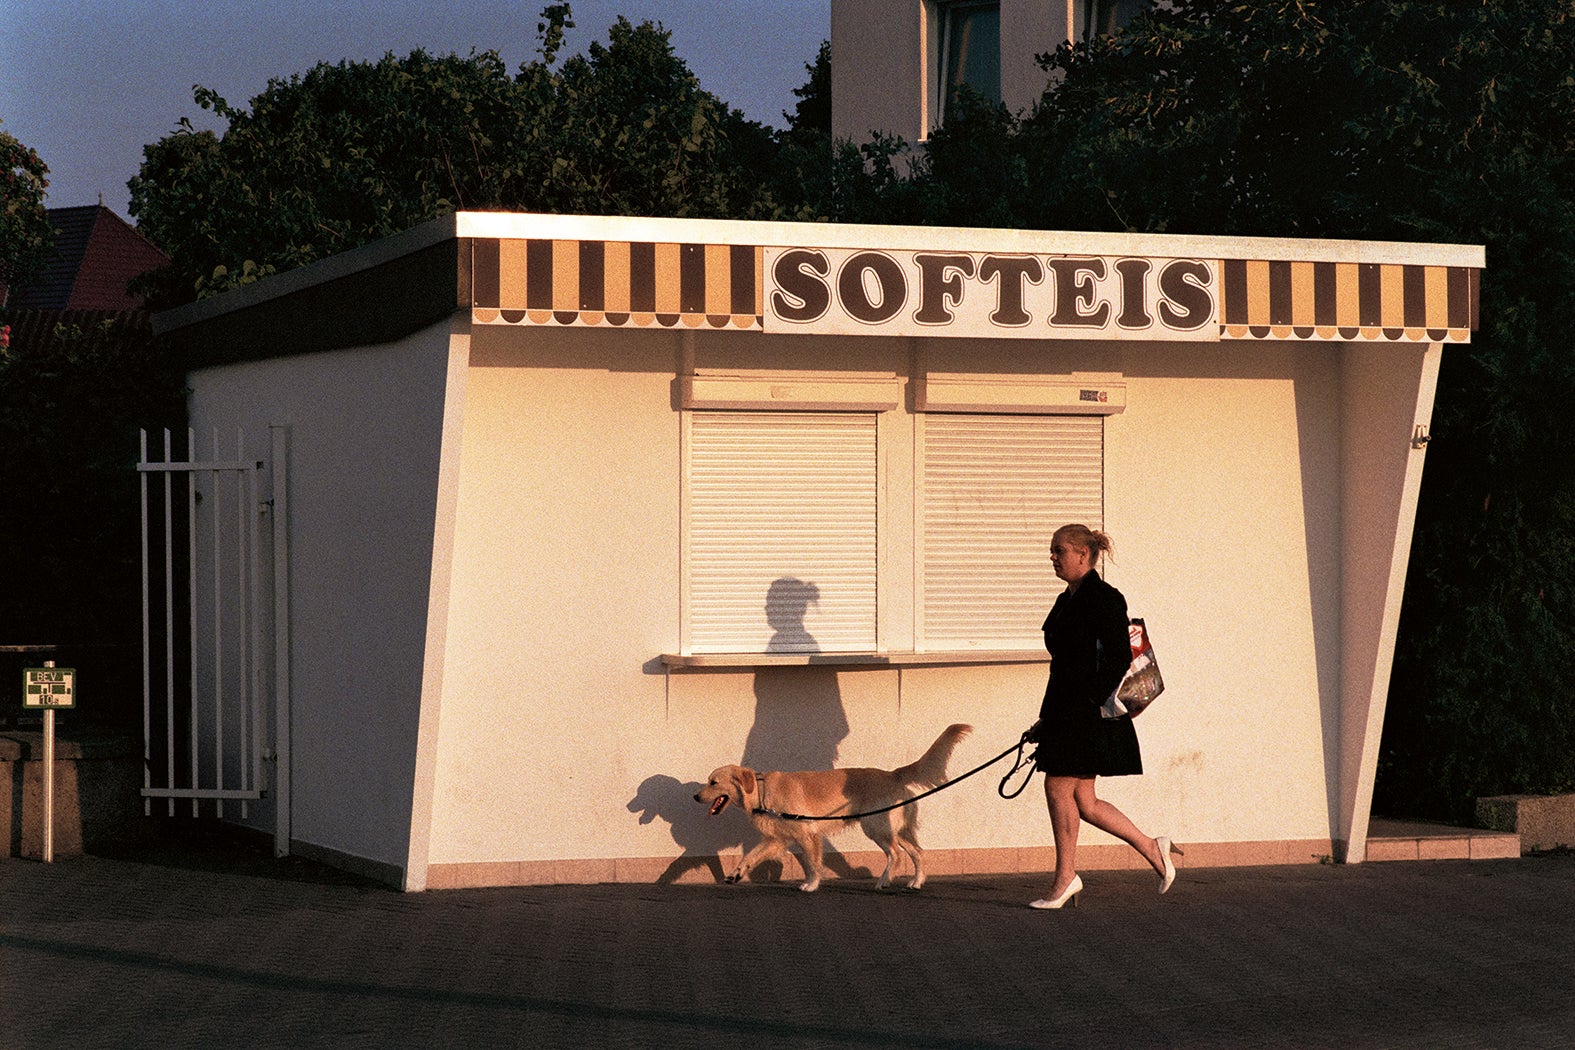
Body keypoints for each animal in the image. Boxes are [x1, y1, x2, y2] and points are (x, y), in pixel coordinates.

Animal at [693, 724, 963, 894]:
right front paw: (735, 874)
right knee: (917, 852)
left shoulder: (807, 834)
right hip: (897, 829)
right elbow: (750, 856)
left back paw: (884, 881)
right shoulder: (776, 839)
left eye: (713, 782)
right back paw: (915, 882)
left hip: (876, 827)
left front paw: (811, 884)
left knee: (895, 854)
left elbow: (811, 863)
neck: (762, 791)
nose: (695, 796)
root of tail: (893, 773)